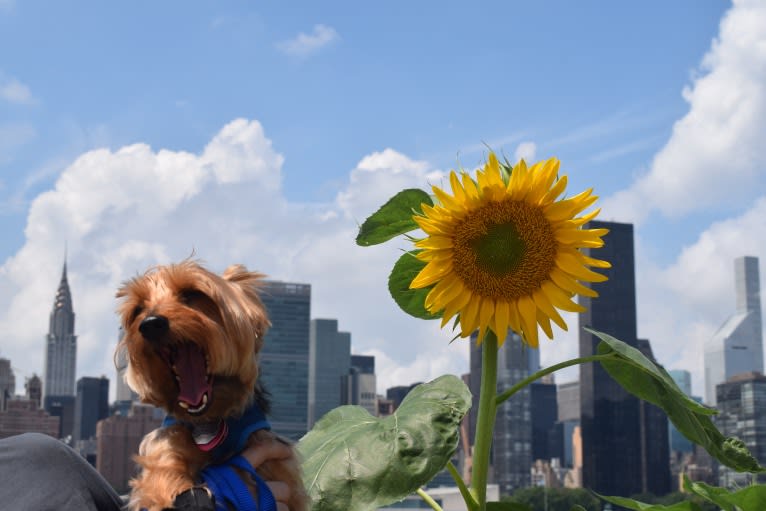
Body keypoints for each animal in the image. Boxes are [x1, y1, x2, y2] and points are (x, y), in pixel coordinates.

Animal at [115, 264, 308, 511]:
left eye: (192, 294)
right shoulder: (164, 450)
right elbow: (165, 479)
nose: (150, 324)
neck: (212, 419)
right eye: (138, 309)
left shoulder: (275, 460)